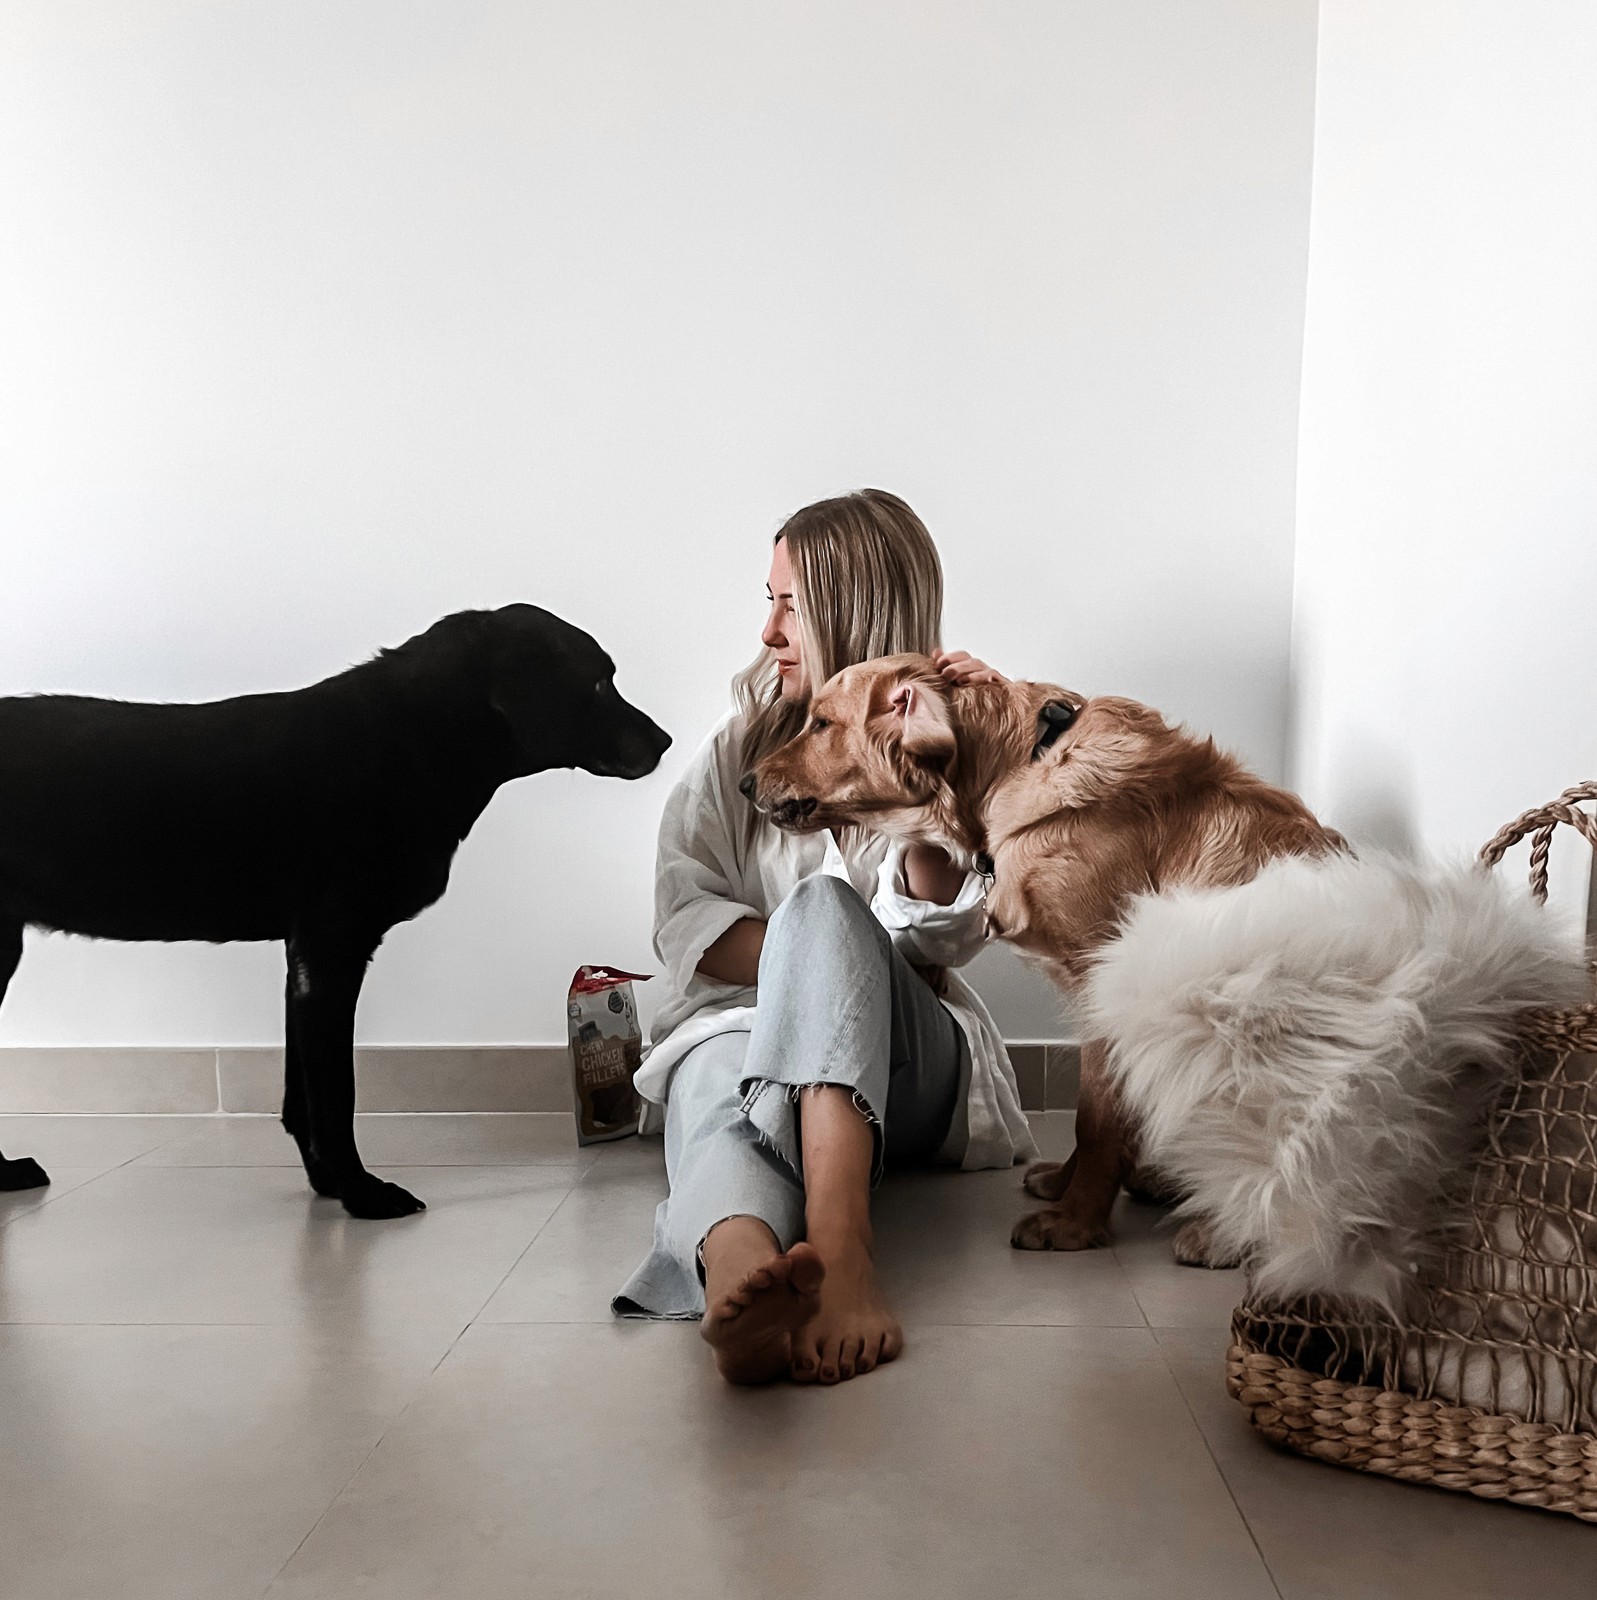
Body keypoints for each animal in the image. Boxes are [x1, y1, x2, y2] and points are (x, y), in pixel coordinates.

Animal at [0, 604, 672, 1216]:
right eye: (598, 681)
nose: (665, 742)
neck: (412, 738)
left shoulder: (302, 956)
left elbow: (301, 1095)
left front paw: (328, 1182)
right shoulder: (331, 947)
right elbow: (335, 1091)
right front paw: (361, 1193)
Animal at [752, 656, 1350, 1254]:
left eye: (822, 723)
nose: (744, 782)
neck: (1015, 771)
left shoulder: (1106, 980)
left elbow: (1098, 1118)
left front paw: (1075, 1223)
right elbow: (1095, 1113)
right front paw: (1067, 1185)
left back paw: (1222, 1236)